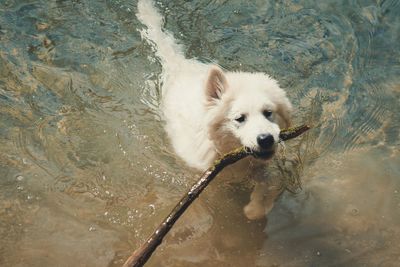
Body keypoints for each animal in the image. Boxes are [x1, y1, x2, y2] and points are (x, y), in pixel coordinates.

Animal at [137, 0, 290, 221]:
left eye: (268, 112)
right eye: (240, 118)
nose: (266, 139)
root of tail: (180, 64)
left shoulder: (261, 167)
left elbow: (265, 183)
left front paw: (254, 209)